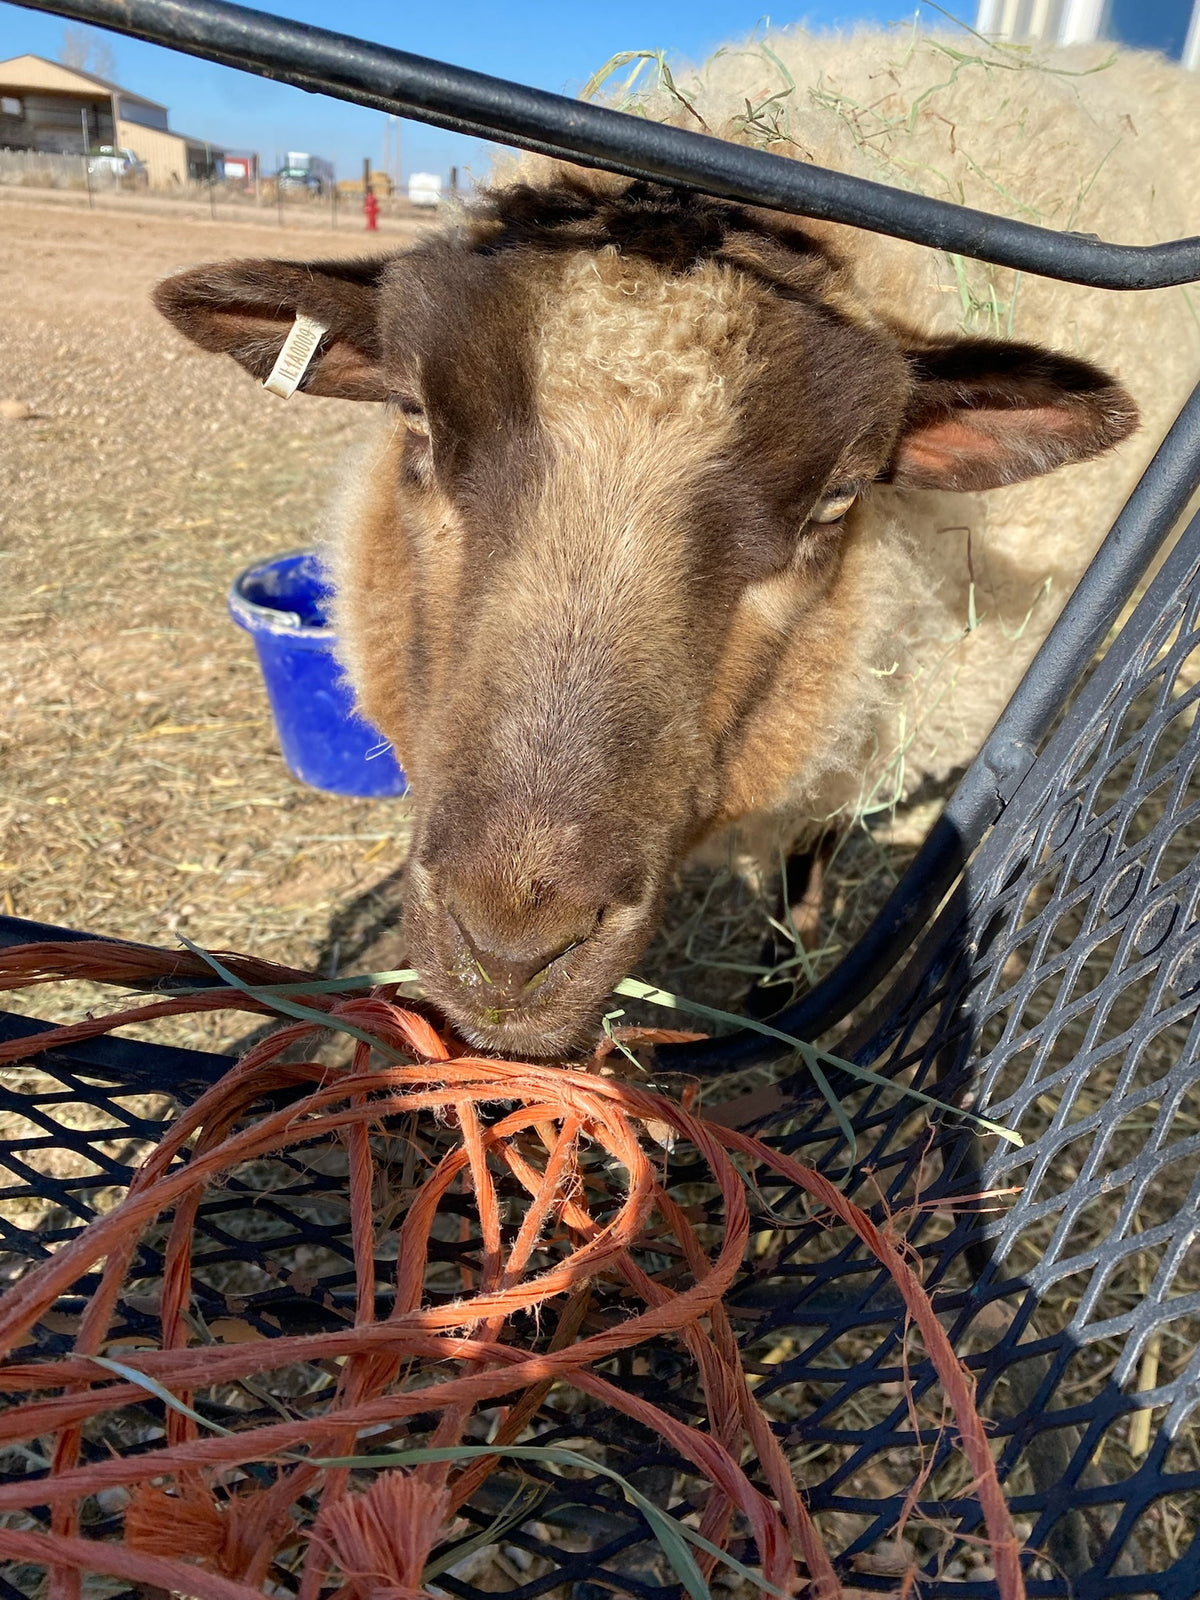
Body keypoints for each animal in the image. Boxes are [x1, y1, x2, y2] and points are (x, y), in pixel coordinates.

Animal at [153, 26, 1200, 1058]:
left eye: (838, 500)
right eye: (413, 416)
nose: (510, 951)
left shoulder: (860, 724)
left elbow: (804, 865)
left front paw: (778, 989)